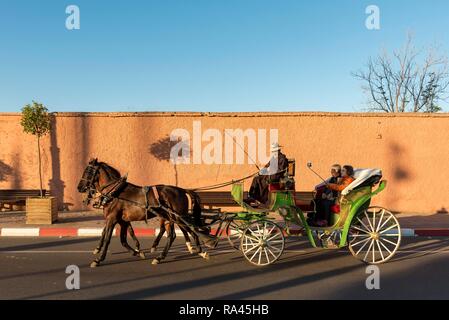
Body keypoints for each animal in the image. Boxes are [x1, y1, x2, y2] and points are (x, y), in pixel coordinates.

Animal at [76, 158, 211, 268]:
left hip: (177, 217)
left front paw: (98, 259)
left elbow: (108, 238)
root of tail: (182, 190)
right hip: (169, 218)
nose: (79, 187)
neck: (114, 192)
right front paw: (137, 251)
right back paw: (162, 257)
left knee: (190, 230)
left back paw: (199, 250)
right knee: (172, 235)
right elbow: (123, 239)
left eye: (88, 171)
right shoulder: (123, 220)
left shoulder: (112, 218)